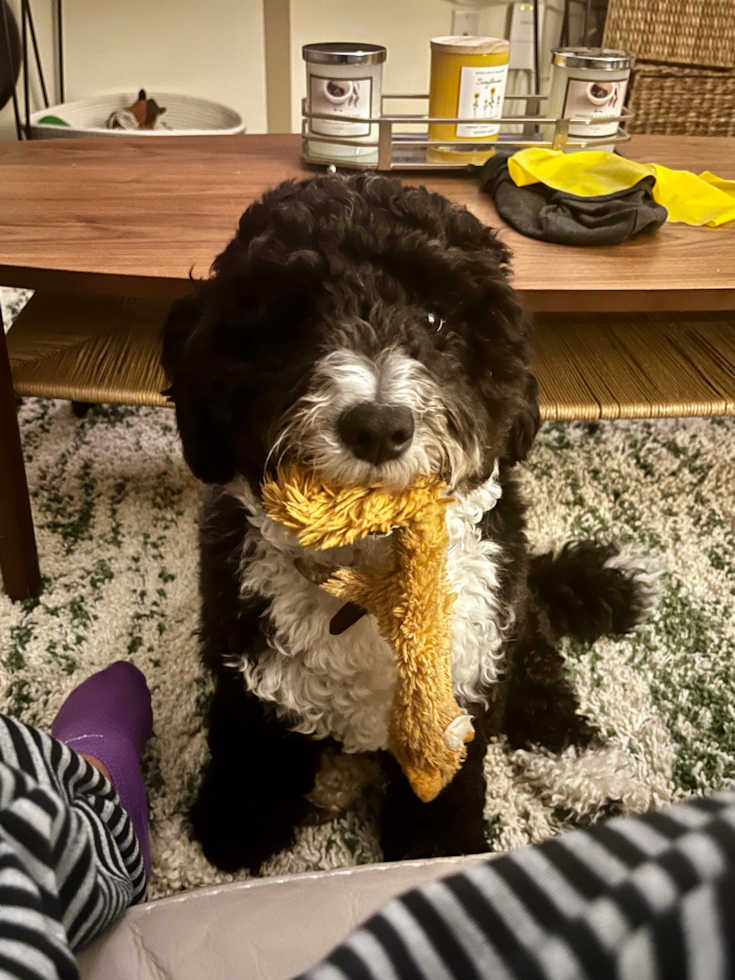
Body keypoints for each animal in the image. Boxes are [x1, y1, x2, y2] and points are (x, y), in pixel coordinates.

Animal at [162, 174, 648, 872]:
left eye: (436, 320)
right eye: (292, 323)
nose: (378, 425)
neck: (371, 569)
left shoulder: (468, 674)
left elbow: (447, 783)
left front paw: (436, 850)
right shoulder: (244, 657)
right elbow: (249, 748)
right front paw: (232, 829)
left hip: (514, 623)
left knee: (542, 685)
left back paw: (591, 773)